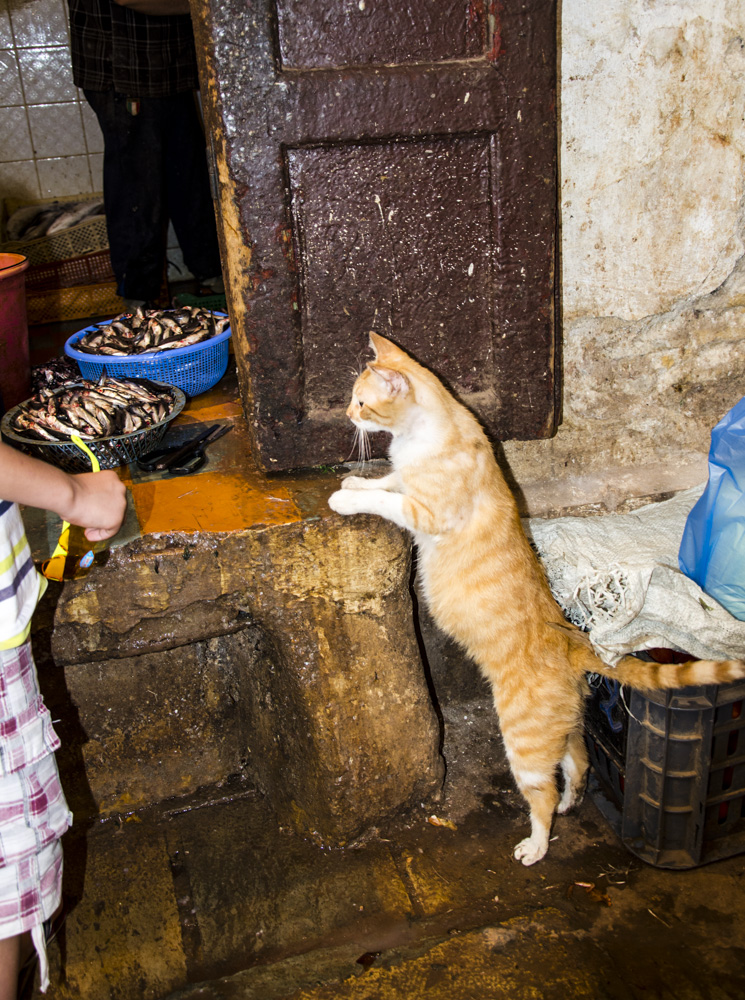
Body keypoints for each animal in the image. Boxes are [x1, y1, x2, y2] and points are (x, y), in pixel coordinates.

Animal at [326, 332, 745, 864]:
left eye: (362, 402)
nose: (345, 414)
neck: (426, 432)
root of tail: (574, 642)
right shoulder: (406, 477)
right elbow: (388, 479)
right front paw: (357, 479)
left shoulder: (427, 511)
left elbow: (388, 497)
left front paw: (347, 496)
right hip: (559, 728)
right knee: (577, 761)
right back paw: (571, 802)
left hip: (523, 737)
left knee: (541, 793)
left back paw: (536, 844)